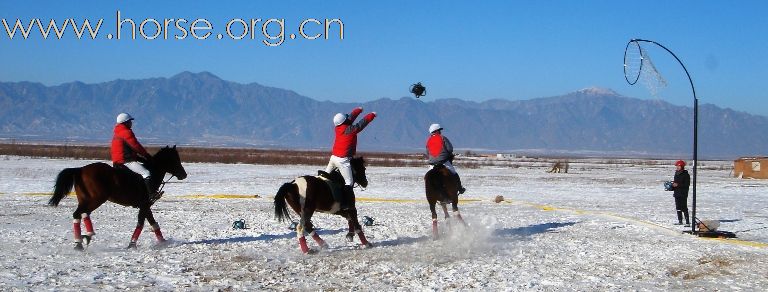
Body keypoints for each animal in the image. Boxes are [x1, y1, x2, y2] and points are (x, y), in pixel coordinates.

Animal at [49, 145, 186, 250]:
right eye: (174, 159)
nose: (183, 174)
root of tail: (80, 169)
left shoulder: (145, 205)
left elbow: (153, 222)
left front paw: (163, 241)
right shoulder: (145, 204)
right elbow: (141, 223)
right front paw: (132, 244)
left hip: (85, 199)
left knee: (82, 214)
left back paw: (84, 239)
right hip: (96, 199)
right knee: (79, 213)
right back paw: (83, 240)